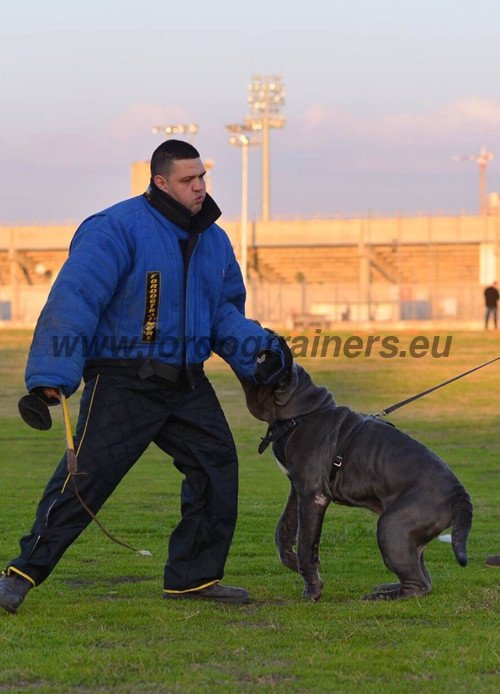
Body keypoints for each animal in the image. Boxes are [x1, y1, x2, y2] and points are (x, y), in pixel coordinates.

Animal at [238, 364, 472, 604]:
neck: (301, 412)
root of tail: (459, 494)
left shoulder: (313, 494)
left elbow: (306, 543)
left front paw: (313, 589)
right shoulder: (297, 489)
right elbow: (283, 531)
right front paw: (293, 563)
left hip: (392, 527)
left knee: (418, 584)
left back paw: (382, 596)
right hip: (409, 535)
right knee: (422, 576)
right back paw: (388, 587)